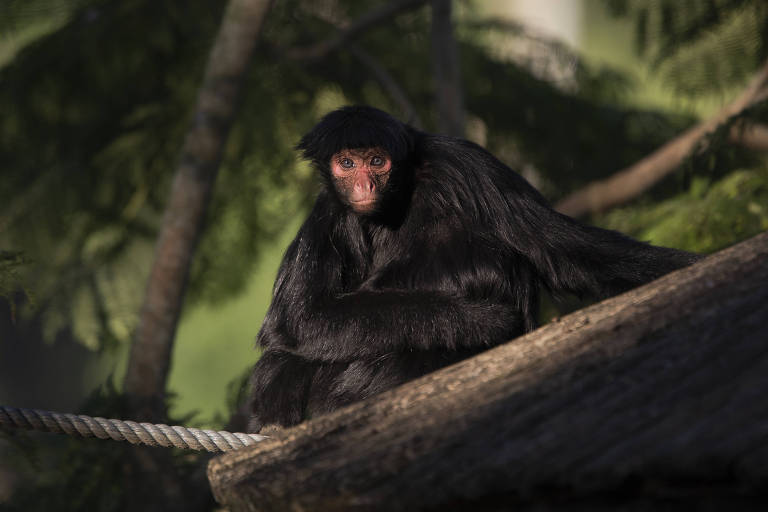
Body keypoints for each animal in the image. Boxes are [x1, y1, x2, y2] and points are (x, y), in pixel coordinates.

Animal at [248, 105, 704, 432]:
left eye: (377, 161)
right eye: (346, 164)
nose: (363, 185)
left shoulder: (463, 161)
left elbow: (561, 249)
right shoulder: (332, 210)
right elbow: (298, 320)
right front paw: (476, 319)